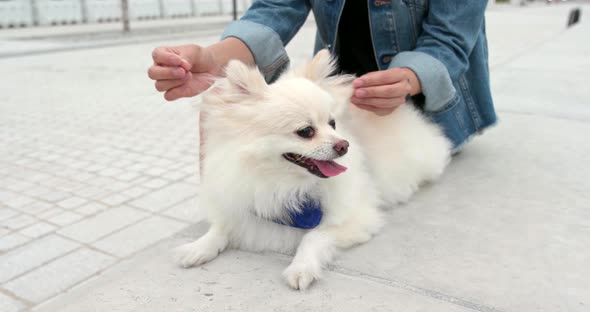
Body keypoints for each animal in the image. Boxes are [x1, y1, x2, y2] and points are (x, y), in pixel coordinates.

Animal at [173, 49, 450, 290]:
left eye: (333, 123)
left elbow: (313, 237)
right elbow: (220, 227)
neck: (284, 184)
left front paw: (301, 268)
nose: (344, 145)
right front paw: (198, 247)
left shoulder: (357, 218)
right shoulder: (241, 202)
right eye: (306, 131)